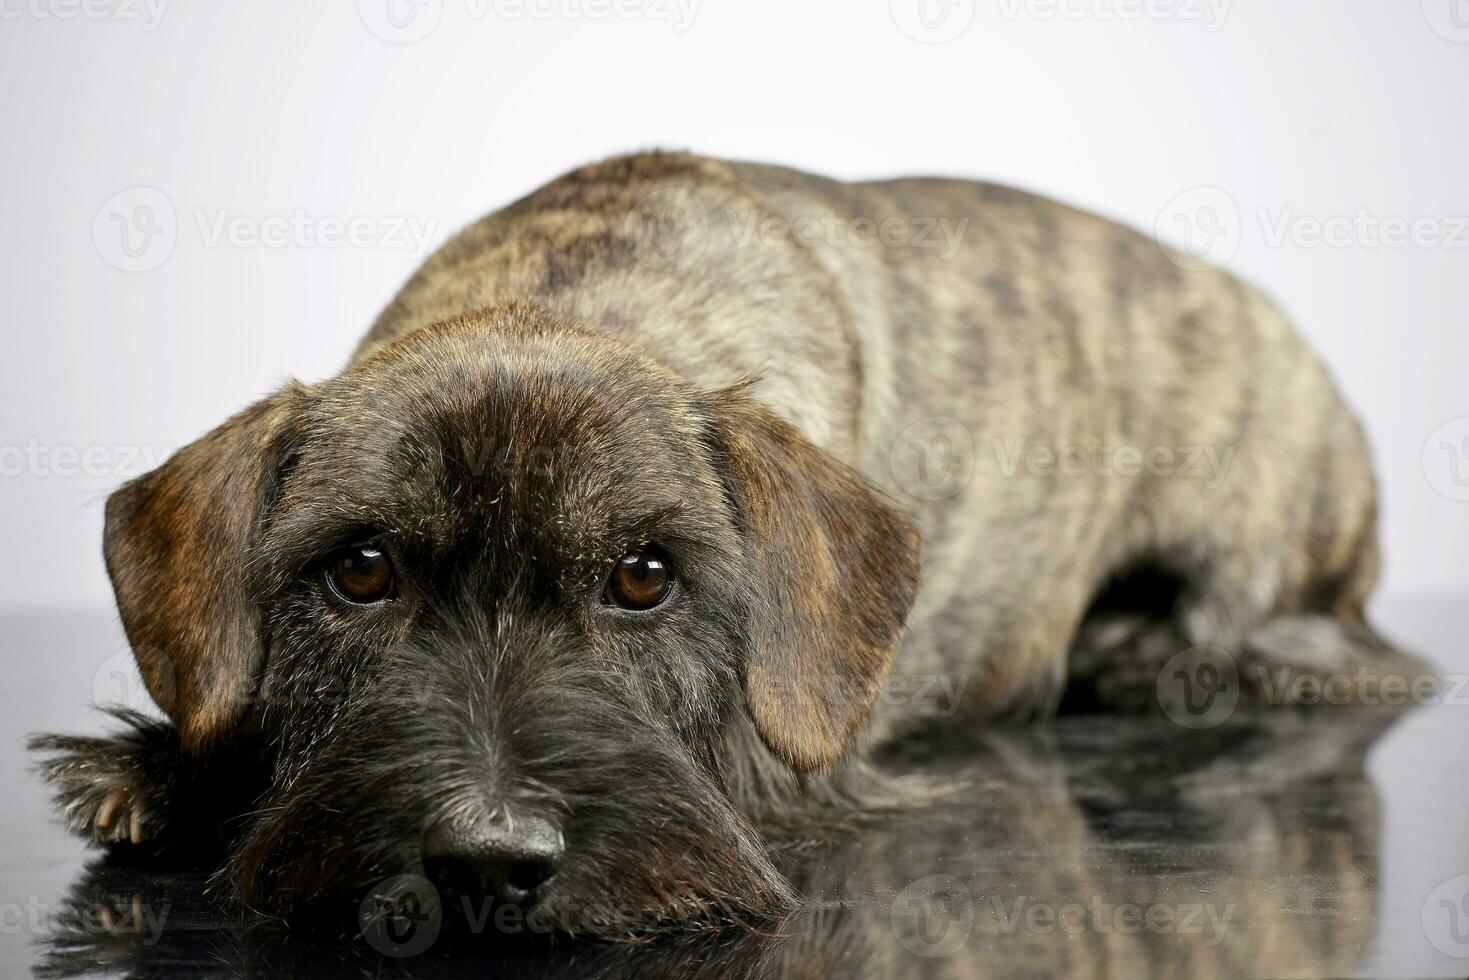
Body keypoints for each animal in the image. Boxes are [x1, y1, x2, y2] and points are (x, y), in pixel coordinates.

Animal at [28, 153, 1427, 940]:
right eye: (360, 570)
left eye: (644, 577)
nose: (487, 859)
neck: (574, 294)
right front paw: (165, 765)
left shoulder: (798, 760)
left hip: (1271, 559)